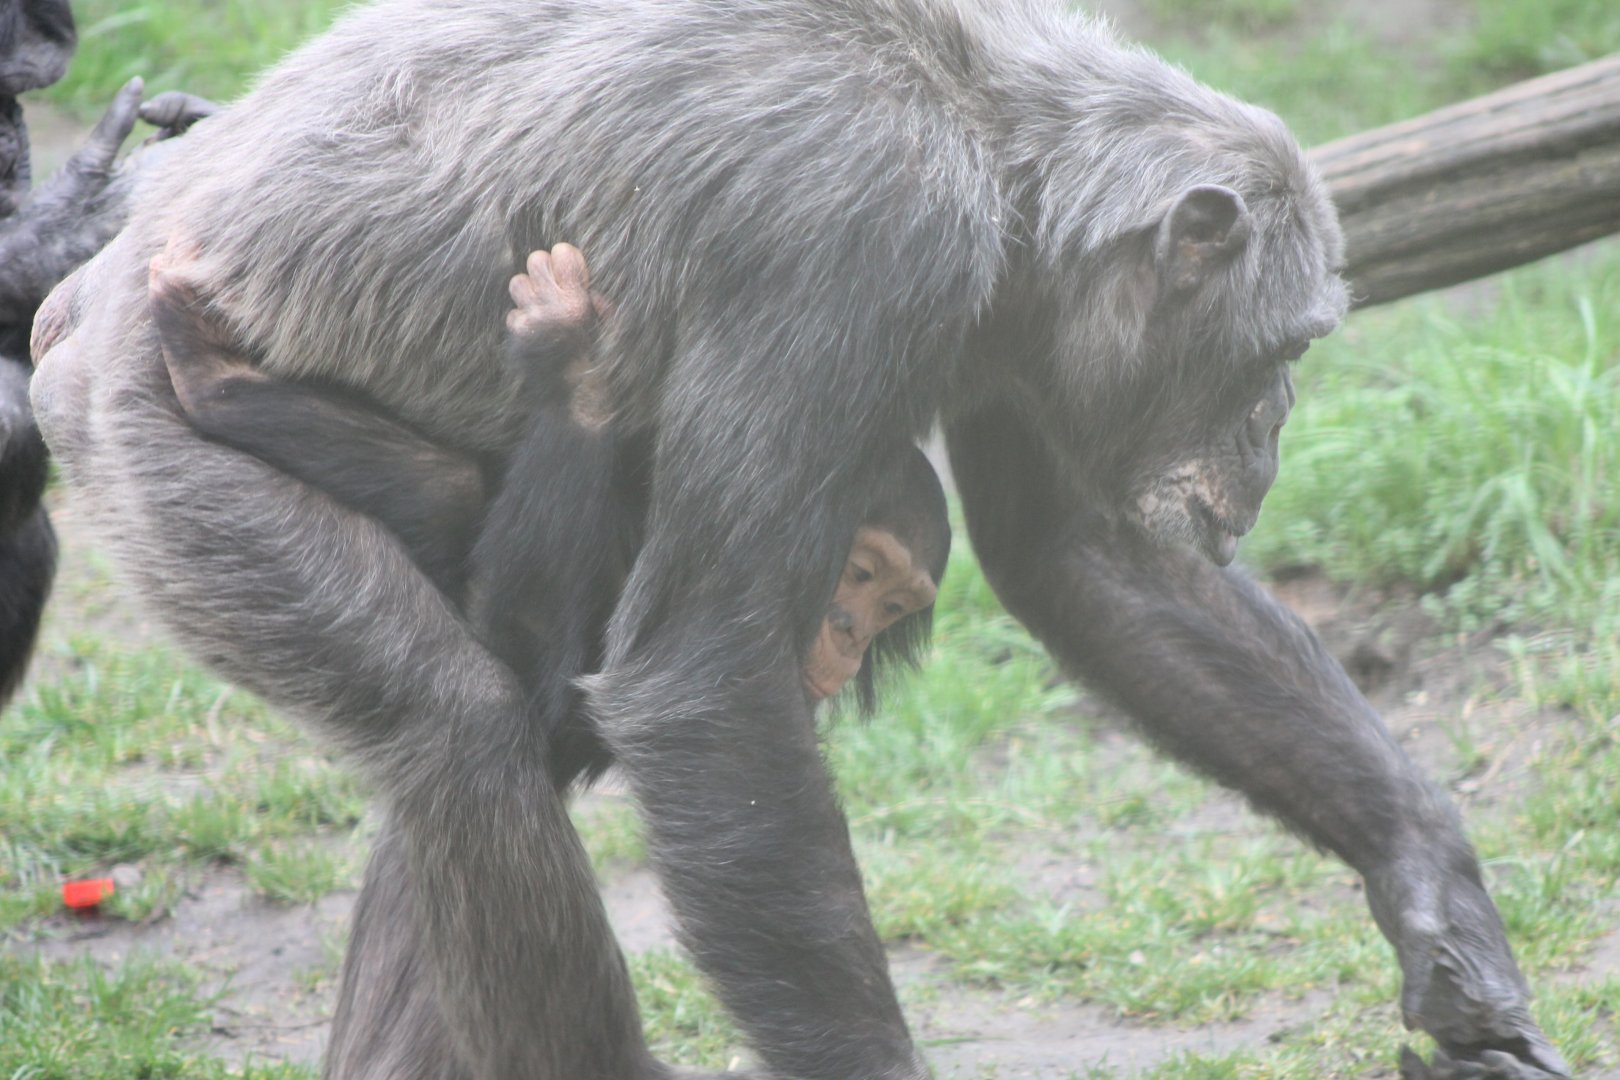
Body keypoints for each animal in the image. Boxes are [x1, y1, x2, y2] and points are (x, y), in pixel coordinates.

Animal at [29, 0, 1567, 1077]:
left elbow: (1082, 555)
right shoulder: (856, 239)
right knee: (458, 746)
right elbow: (705, 677)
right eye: (1285, 349)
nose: (1279, 426)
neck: (993, 142)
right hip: (158, 456)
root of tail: (73, 300)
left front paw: (1441, 913)